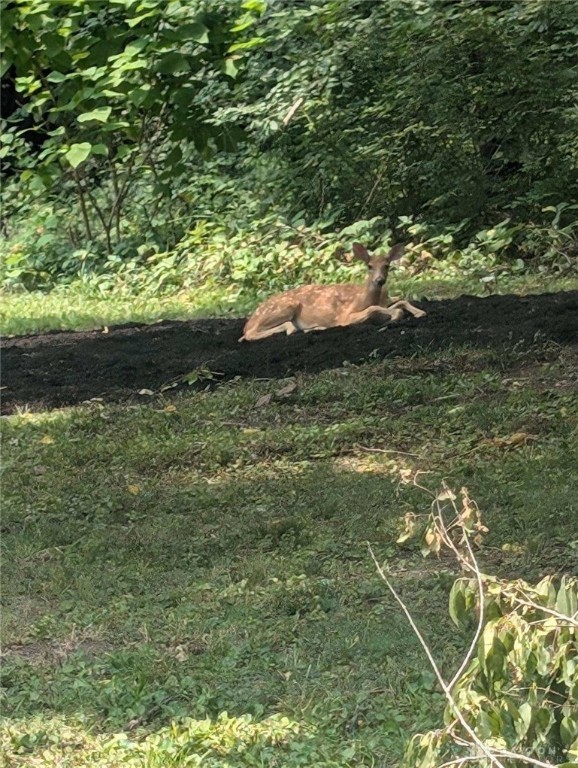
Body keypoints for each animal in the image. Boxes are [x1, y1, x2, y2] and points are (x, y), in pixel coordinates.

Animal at [237, 242, 424, 340]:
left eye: (387, 266)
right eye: (369, 266)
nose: (380, 280)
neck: (368, 297)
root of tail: (249, 321)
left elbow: (400, 301)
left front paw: (419, 312)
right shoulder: (345, 316)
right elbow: (373, 309)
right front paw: (395, 316)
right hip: (283, 307)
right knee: (250, 334)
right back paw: (292, 329)